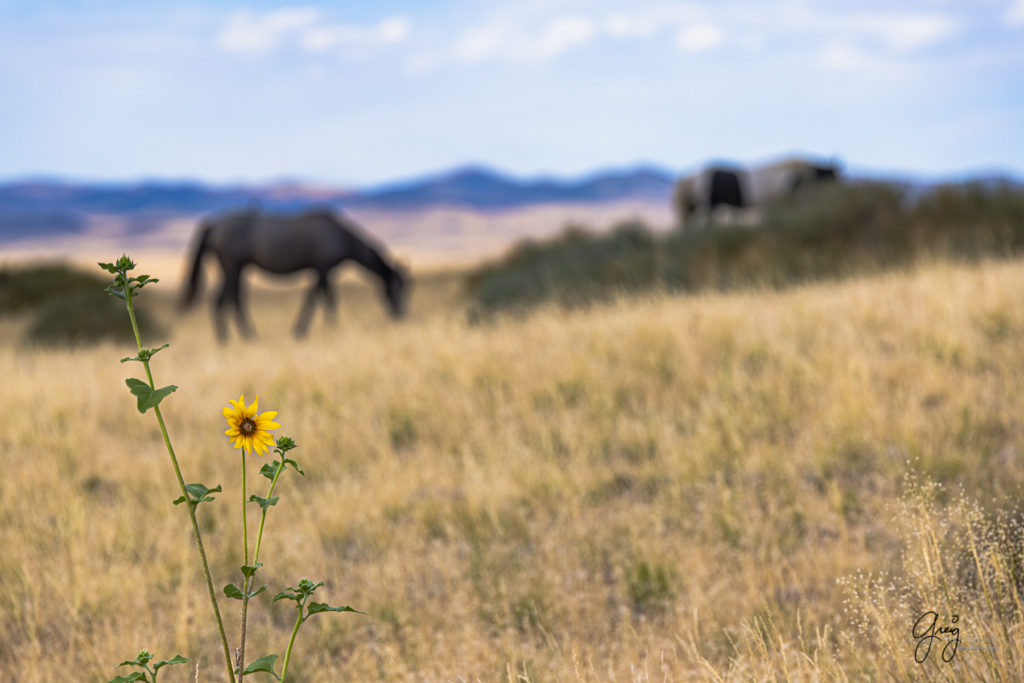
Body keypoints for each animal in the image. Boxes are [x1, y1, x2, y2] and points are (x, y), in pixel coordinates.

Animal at [180, 205, 407, 339]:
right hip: (232, 266)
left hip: (235, 267)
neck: (341, 236)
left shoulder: (325, 272)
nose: (401, 315)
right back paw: (230, 340)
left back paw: (247, 336)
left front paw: (330, 326)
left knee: (233, 299)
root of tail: (214, 223)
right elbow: (316, 298)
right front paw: (304, 330)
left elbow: (326, 297)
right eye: (400, 288)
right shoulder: (323, 269)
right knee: (223, 299)